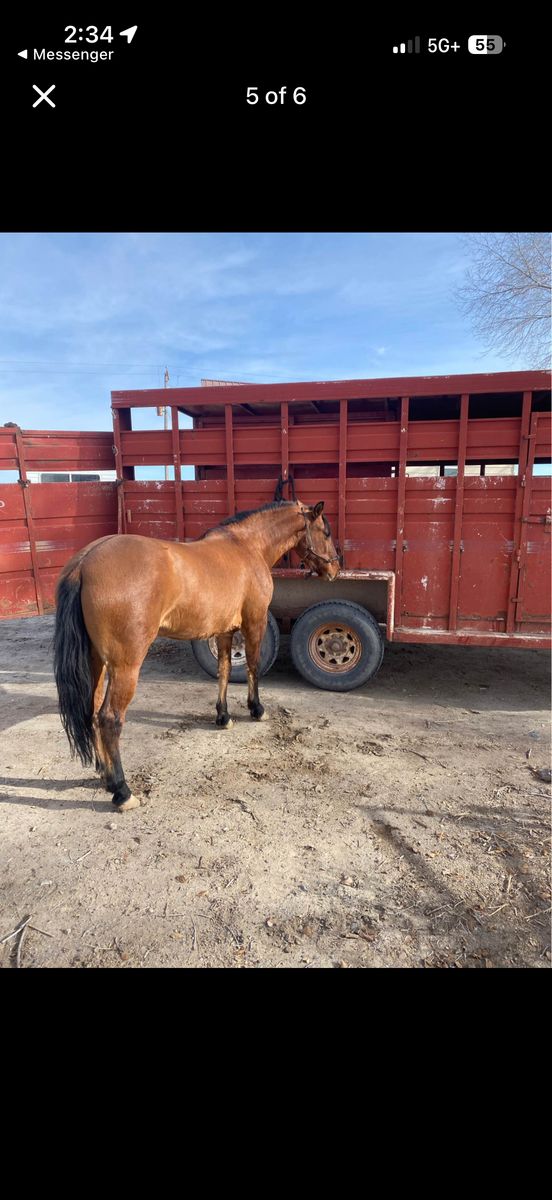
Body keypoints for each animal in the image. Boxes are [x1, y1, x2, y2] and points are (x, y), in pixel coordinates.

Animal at [53, 498, 339, 812]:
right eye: (325, 531)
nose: (335, 569)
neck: (246, 547)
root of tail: (84, 563)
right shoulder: (255, 622)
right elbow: (252, 666)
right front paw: (257, 709)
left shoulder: (225, 631)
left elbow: (224, 670)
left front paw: (223, 716)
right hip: (125, 666)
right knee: (109, 719)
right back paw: (122, 790)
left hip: (97, 662)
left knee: (92, 712)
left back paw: (105, 776)